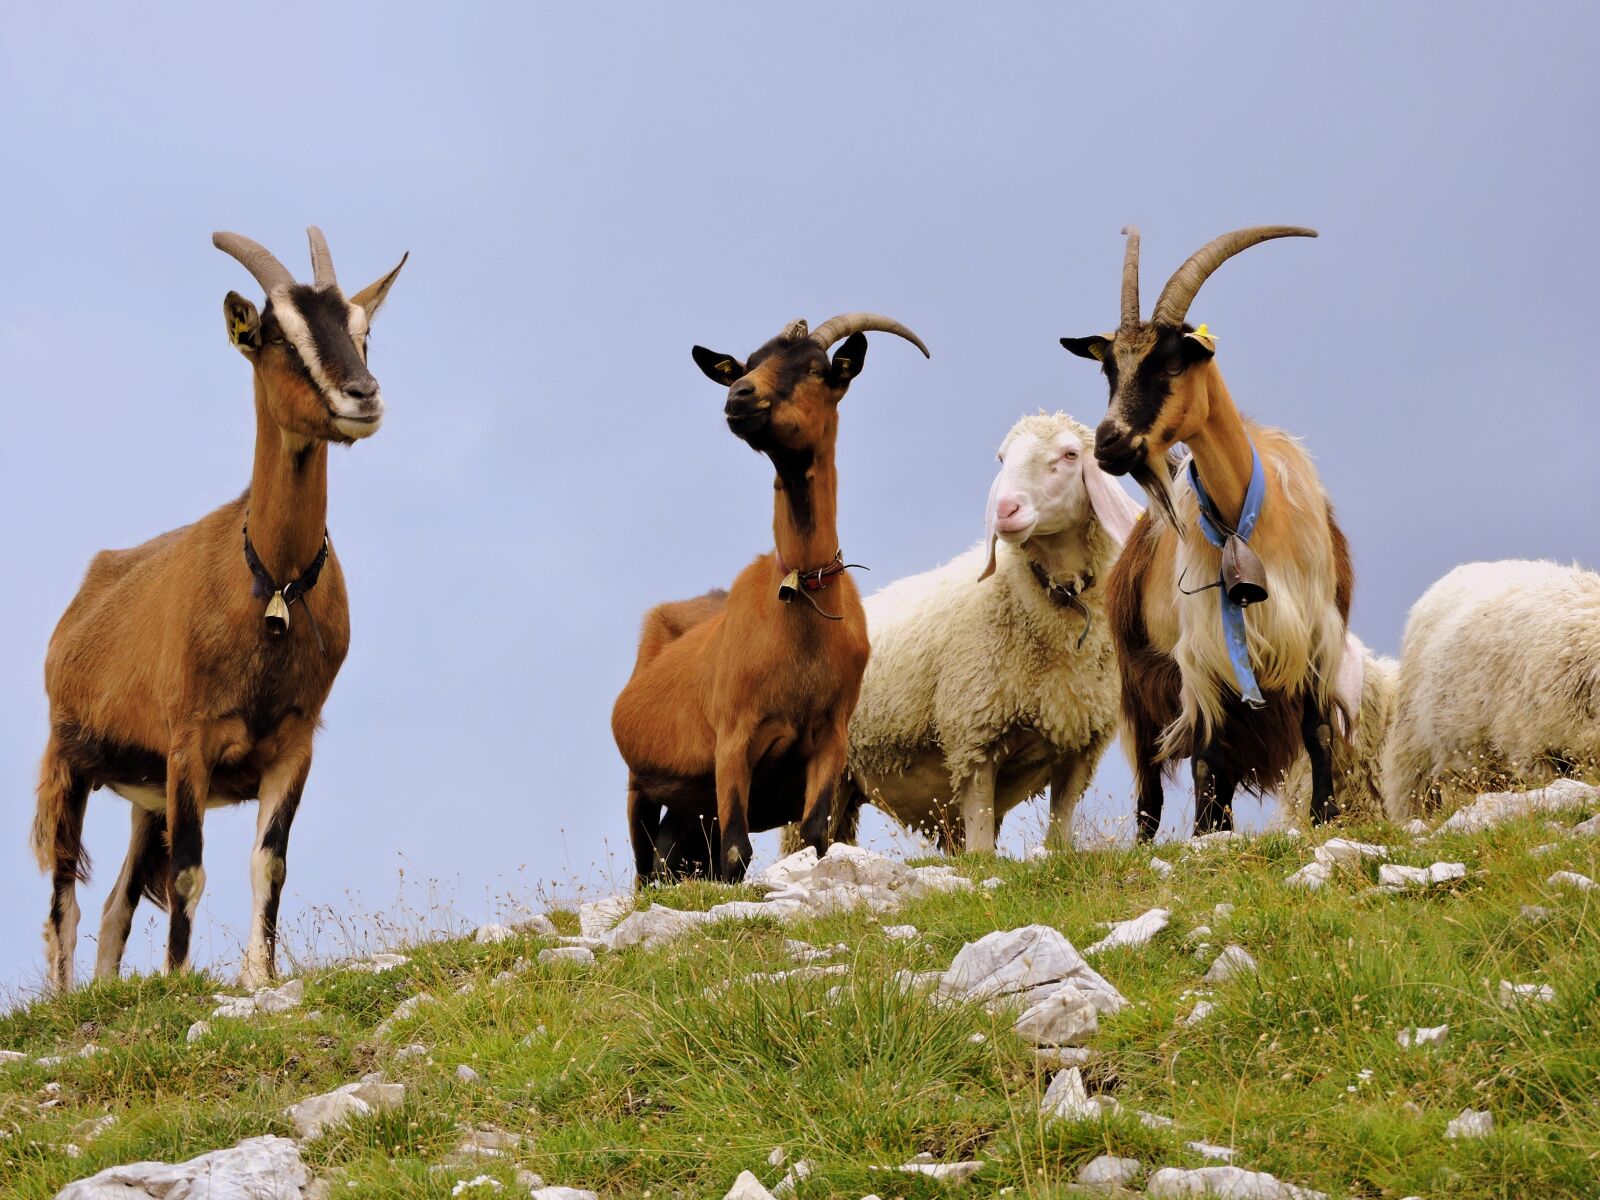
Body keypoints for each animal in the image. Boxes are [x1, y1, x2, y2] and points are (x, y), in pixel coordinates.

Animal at [31, 228, 406, 991]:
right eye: (276, 335)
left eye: (364, 331)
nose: (363, 396)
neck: (272, 584)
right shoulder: (191, 742)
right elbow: (188, 874)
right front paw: (180, 982)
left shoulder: (293, 744)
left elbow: (270, 864)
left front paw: (258, 978)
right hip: (69, 758)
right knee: (64, 903)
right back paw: (64, 999)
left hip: (144, 795)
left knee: (114, 904)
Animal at [612, 314, 929, 883]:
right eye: (748, 364)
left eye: (816, 369)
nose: (739, 396)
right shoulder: (733, 740)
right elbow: (737, 855)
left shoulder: (830, 742)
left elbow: (817, 838)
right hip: (638, 785)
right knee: (646, 870)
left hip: (691, 808)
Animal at [820, 411, 1143, 854]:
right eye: (1002, 458)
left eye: (1070, 454)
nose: (1005, 509)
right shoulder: (973, 737)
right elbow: (980, 842)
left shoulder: (1080, 742)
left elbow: (1060, 827)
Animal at [1060, 226, 1356, 838]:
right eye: (1110, 370)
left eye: (1172, 365)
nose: (1108, 444)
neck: (1250, 520)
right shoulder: (1201, 655)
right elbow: (1206, 757)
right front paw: (1205, 838)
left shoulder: (1316, 634)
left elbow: (1317, 733)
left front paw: (1325, 817)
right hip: (1138, 686)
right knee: (1153, 780)